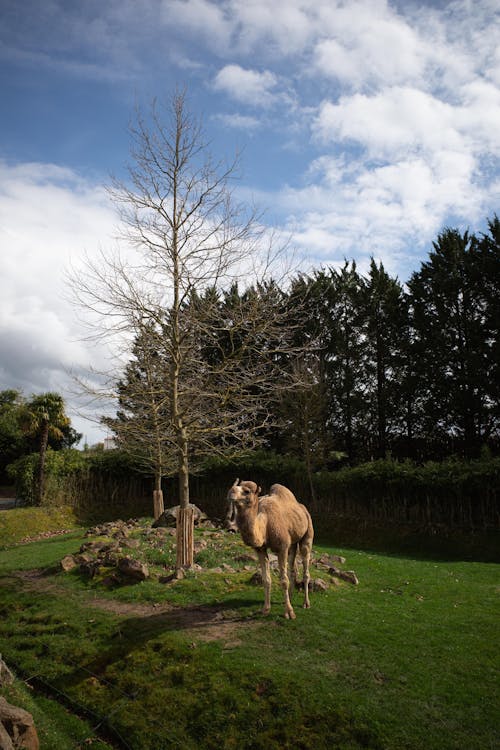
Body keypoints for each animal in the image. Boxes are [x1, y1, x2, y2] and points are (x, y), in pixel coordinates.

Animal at [227, 482, 312, 624]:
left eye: (247, 491)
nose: (230, 492)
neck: (264, 524)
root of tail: (303, 508)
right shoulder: (260, 549)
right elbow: (266, 579)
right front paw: (265, 609)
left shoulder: (282, 547)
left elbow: (283, 581)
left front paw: (289, 613)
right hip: (292, 543)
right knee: (293, 568)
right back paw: (291, 597)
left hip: (307, 535)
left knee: (305, 570)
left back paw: (306, 603)